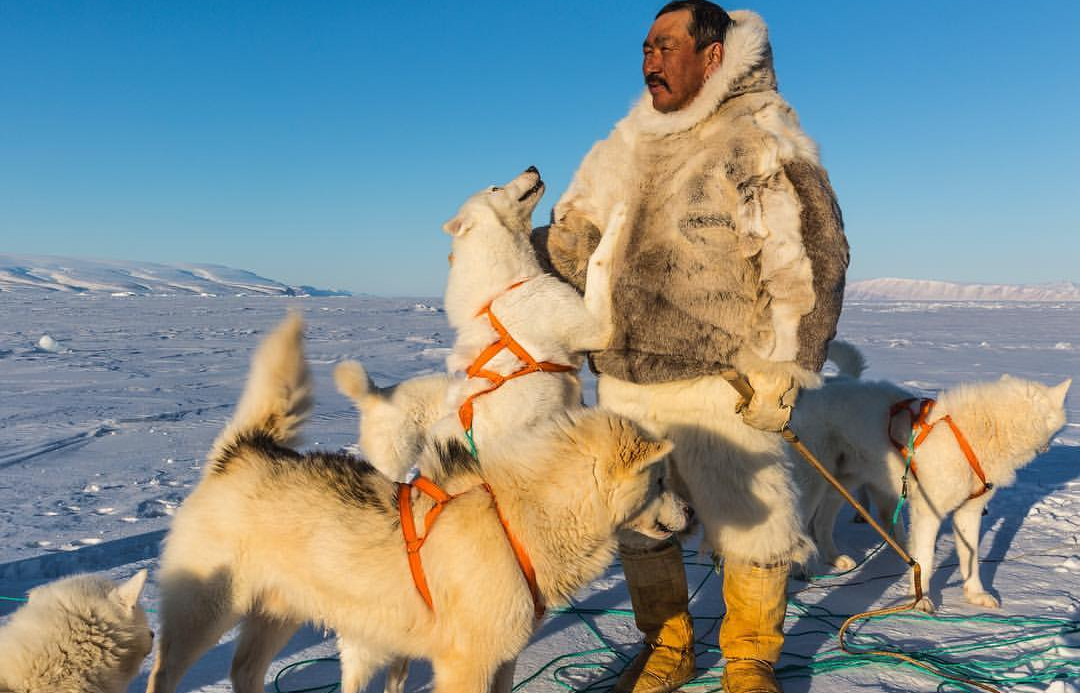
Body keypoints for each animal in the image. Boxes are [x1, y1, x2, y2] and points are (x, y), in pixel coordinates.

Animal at [790, 341, 1067, 608]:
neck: (977, 434)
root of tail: (830, 382)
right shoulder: (928, 512)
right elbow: (925, 558)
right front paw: (920, 600)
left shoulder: (969, 512)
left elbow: (971, 559)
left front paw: (975, 595)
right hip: (814, 484)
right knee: (802, 526)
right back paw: (802, 571)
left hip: (843, 484)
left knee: (822, 522)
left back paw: (835, 558)